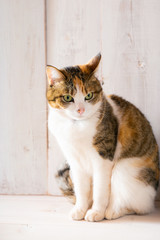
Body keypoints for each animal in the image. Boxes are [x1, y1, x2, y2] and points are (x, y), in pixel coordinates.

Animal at [46, 53, 159, 222]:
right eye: (67, 98)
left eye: (88, 96)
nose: (80, 110)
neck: (76, 126)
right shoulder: (74, 162)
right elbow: (81, 189)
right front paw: (80, 210)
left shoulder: (103, 159)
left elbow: (100, 190)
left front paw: (96, 212)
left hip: (125, 170)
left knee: (139, 207)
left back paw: (113, 211)